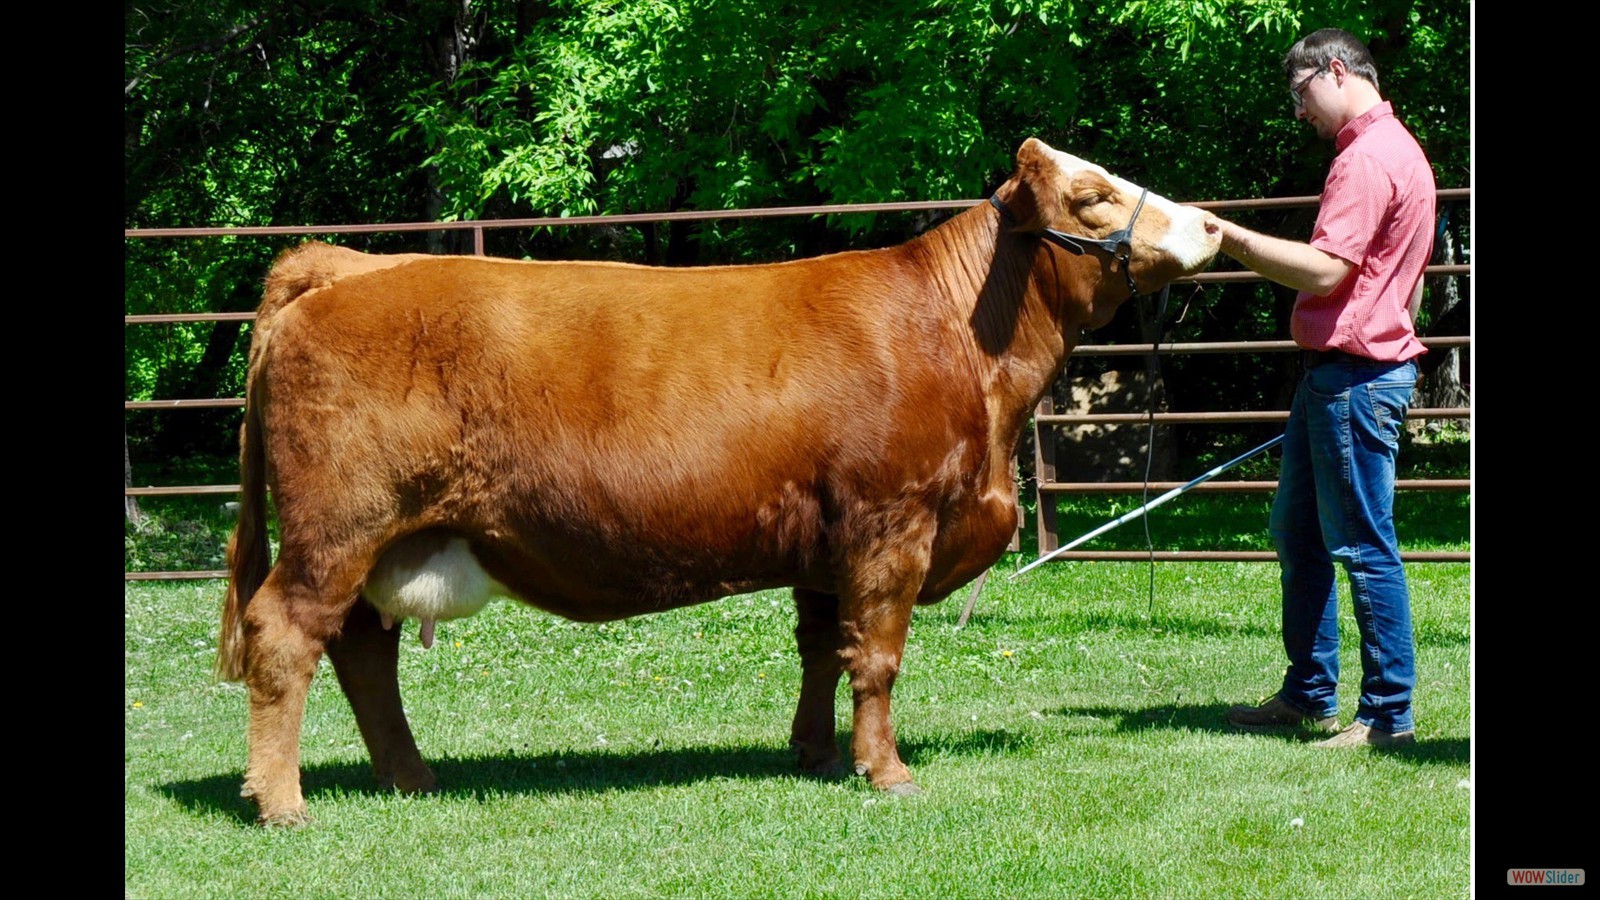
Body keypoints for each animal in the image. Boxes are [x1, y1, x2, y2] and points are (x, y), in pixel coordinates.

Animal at [216, 137, 1222, 826]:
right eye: (1091, 195)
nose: (1213, 224)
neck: (962, 342)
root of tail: (344, 263)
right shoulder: (892, 522)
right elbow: (878, 656)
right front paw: (888, 772)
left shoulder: (826, 547)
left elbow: (824, 649)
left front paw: (817, 755)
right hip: (338, 530)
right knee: (288, 637)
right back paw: (282, 803)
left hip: (383, 539)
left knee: (362, 653)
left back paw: (412, 778)